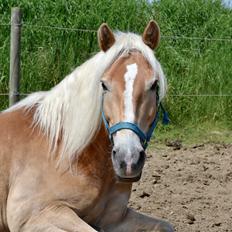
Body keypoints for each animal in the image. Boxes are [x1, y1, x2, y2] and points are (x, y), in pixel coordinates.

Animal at [0, 20, 174, 231]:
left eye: (154, 85)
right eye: (104, 84)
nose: (128, 160)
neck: (67, 151)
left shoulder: (114, 218)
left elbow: (166, 226)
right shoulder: (35, 217)